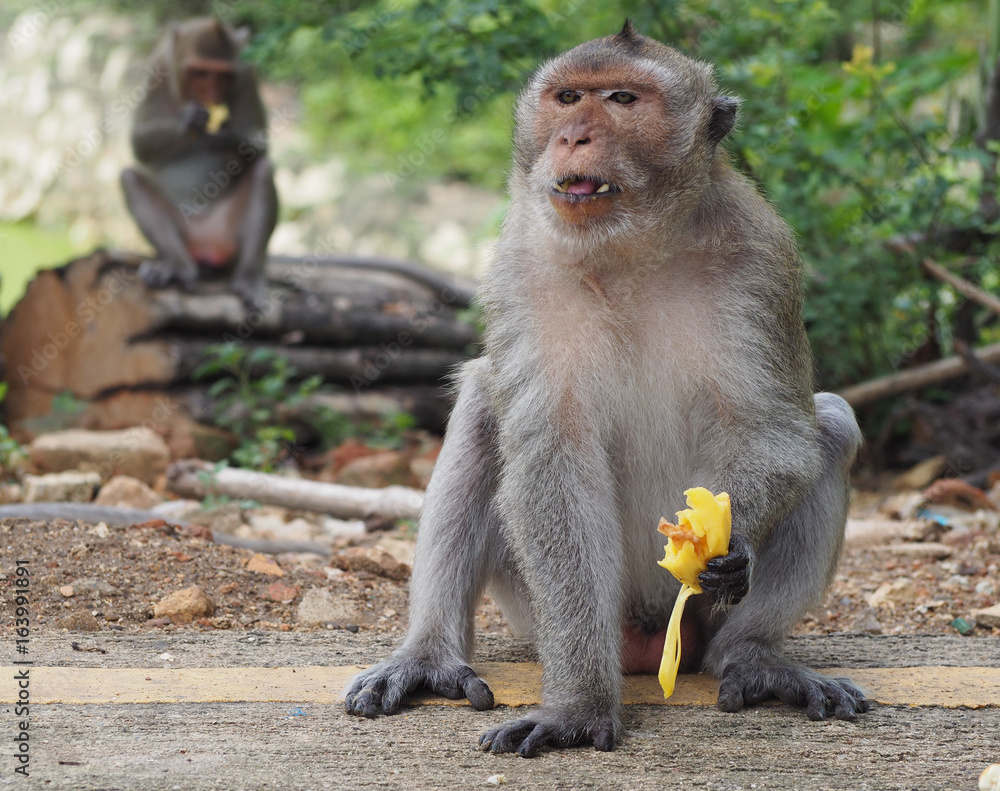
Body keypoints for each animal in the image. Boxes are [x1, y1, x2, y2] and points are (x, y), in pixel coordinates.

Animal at [121, 18, 277, 308]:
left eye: (224, 76)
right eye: (200, 73)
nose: (210, 95)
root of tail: (206, 245)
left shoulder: (248, 73)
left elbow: (261, 144)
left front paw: (225, 135)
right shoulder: (158, 65)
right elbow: (139, 143)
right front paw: (190, 121)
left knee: (262, 171)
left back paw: (248, 275)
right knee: (130, 178)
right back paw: (176, 264)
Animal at [344, 22, 869, 756]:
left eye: (622, 99)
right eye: (567, 98)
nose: (573, 137)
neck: (631, 249)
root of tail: (647, 640)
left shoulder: (762, 258)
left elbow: (776, 432)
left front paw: (731, 544)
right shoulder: (522, 267)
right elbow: (552, 456)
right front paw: (580, 706)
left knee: (834, 425)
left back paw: (755, 657)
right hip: (535, 608)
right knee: (482, 407)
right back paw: (428, 656)